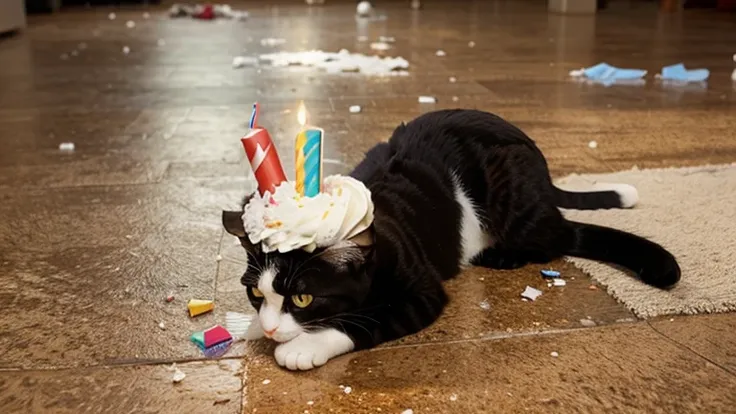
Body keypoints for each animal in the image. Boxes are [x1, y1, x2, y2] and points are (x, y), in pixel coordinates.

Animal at [221, 108, 680, 370]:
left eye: (303, 298)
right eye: (256, 294)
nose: (270, 328)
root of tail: (542, 167)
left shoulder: (421, 291)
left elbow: (367, 320)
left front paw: (305, 345)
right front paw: (257, 327)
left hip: (510, 190)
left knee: (562, 234)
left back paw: (504, 254)